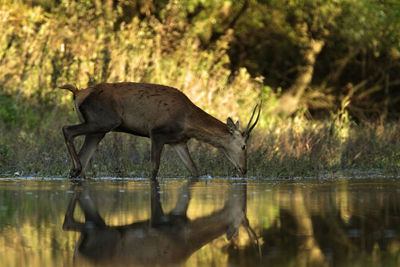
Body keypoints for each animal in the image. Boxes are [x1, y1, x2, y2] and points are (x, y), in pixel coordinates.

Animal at [57, 83, 260, 180]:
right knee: (67, 129)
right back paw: (76, 168)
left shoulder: (178, 141)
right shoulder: (157, 132)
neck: (187, 120)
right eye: (243, 146)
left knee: (84, 155)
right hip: (103, 121)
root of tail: (77, 93)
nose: (244, 169)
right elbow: (154, 169)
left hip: (99, 129)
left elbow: (194, 170)